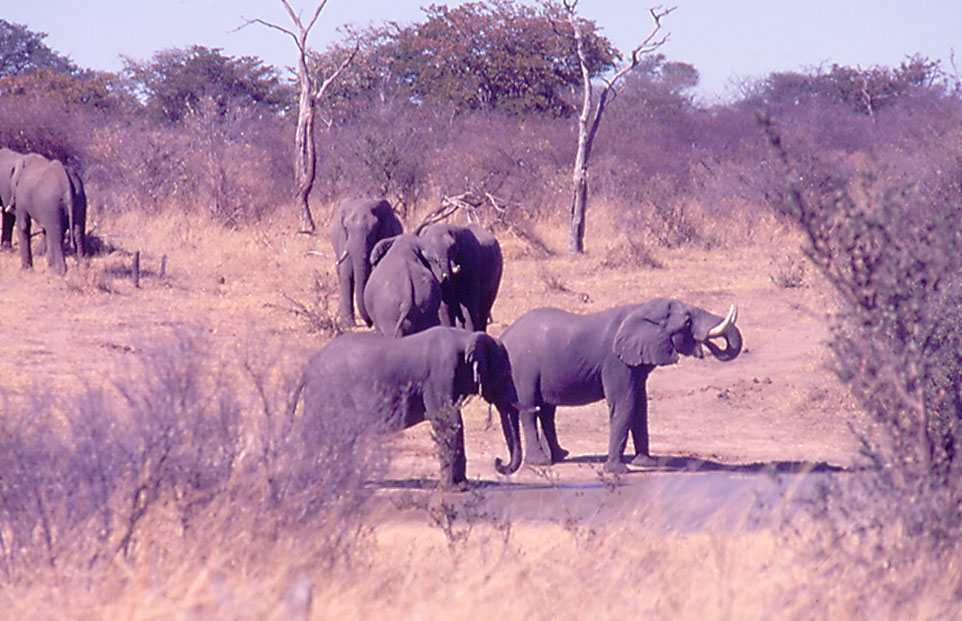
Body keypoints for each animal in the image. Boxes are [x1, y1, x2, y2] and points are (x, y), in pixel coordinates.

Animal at [298, 326, 524, 489]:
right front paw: (457, 489)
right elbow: (448, 420)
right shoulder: (440, 374)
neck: (466, 337)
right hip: (324, 394)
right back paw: (312, 481)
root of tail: (309, 367)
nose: (498, 461)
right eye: (504, 375)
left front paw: (463, 485)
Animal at [330, 198, 403, 326]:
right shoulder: (343, 240)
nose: (369, 323)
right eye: (346, 227)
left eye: (375, 227)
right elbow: (346, 274)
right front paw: (348, 324)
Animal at [498, 298, 743, 474]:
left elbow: (640, 405)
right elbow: (624, 403)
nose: (704, 346)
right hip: (523, 368)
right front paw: (617, 471)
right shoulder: (616, 362)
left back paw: (560, 455)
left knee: (547, 411)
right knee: (530, 409)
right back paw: (540, 462)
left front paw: (646, 464)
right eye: (688, 322)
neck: (641, 309)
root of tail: (503, 336)